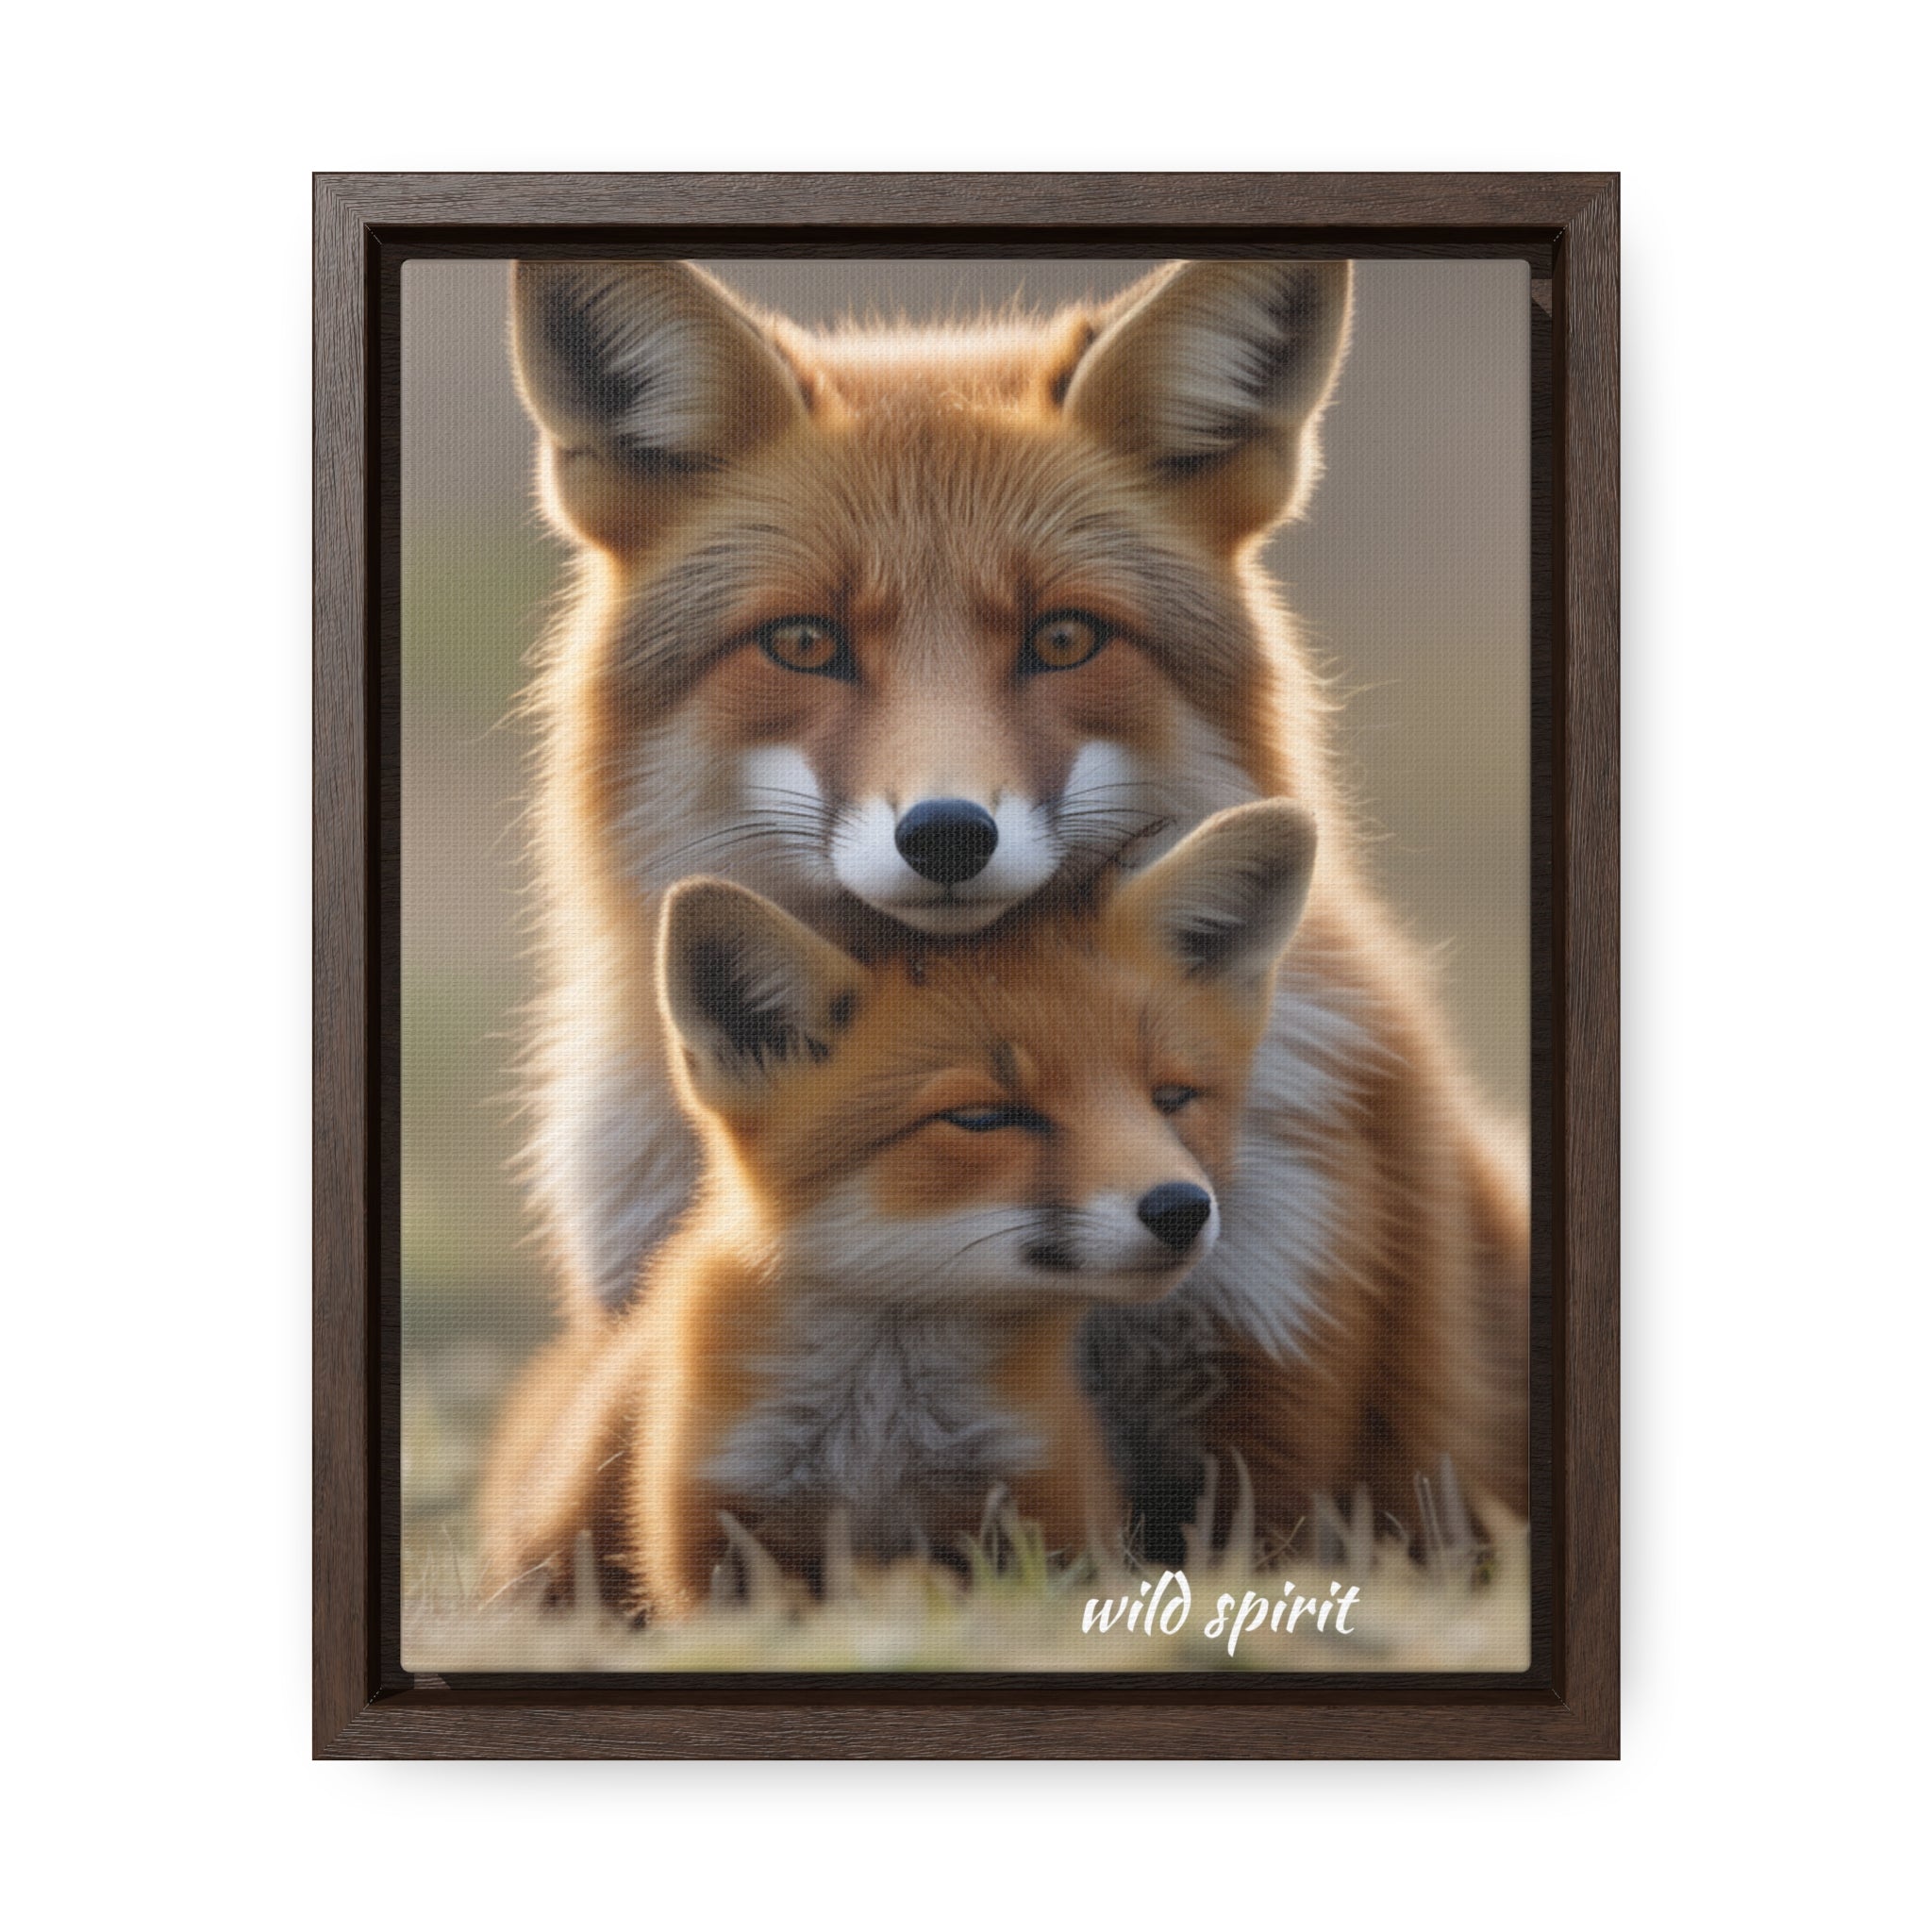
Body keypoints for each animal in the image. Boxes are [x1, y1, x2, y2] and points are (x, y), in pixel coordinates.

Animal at [480, 803, 1319, 1615]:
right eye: (983, 1118)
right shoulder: (716, 1538)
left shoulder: (1045, 1515)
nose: (1182, 1209)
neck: (881, 1437)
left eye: (1171, 1099)